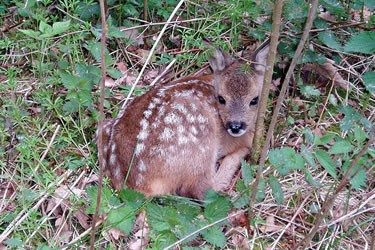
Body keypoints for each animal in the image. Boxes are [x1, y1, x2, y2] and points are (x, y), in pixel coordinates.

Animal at [100, 43, 270, 199]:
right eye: (221, 98)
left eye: (255, 100)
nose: (235, 126)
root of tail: (137, 185)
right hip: (201, 133)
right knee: (199, 191)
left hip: (104, 128)